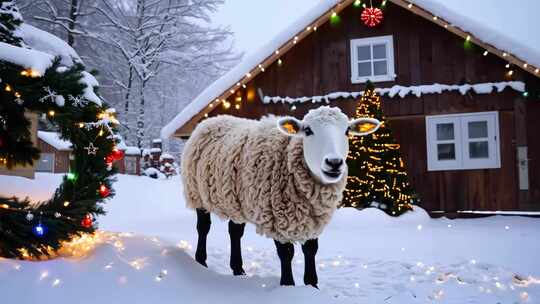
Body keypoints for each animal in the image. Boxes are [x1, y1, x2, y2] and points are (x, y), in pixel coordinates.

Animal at [181, 106, 380, 288]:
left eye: (346, 131)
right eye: (308, 130)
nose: (334, 162)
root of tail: (211, 120)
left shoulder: (312, 217)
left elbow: (311, 250)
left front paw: (311, 286)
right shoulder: (275, 215)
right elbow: (286, 253)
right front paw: (288, 285)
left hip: (236, 201)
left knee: (235, 231)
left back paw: (238, 269)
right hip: (196, 193)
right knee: (203, 227)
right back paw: (201, 260)